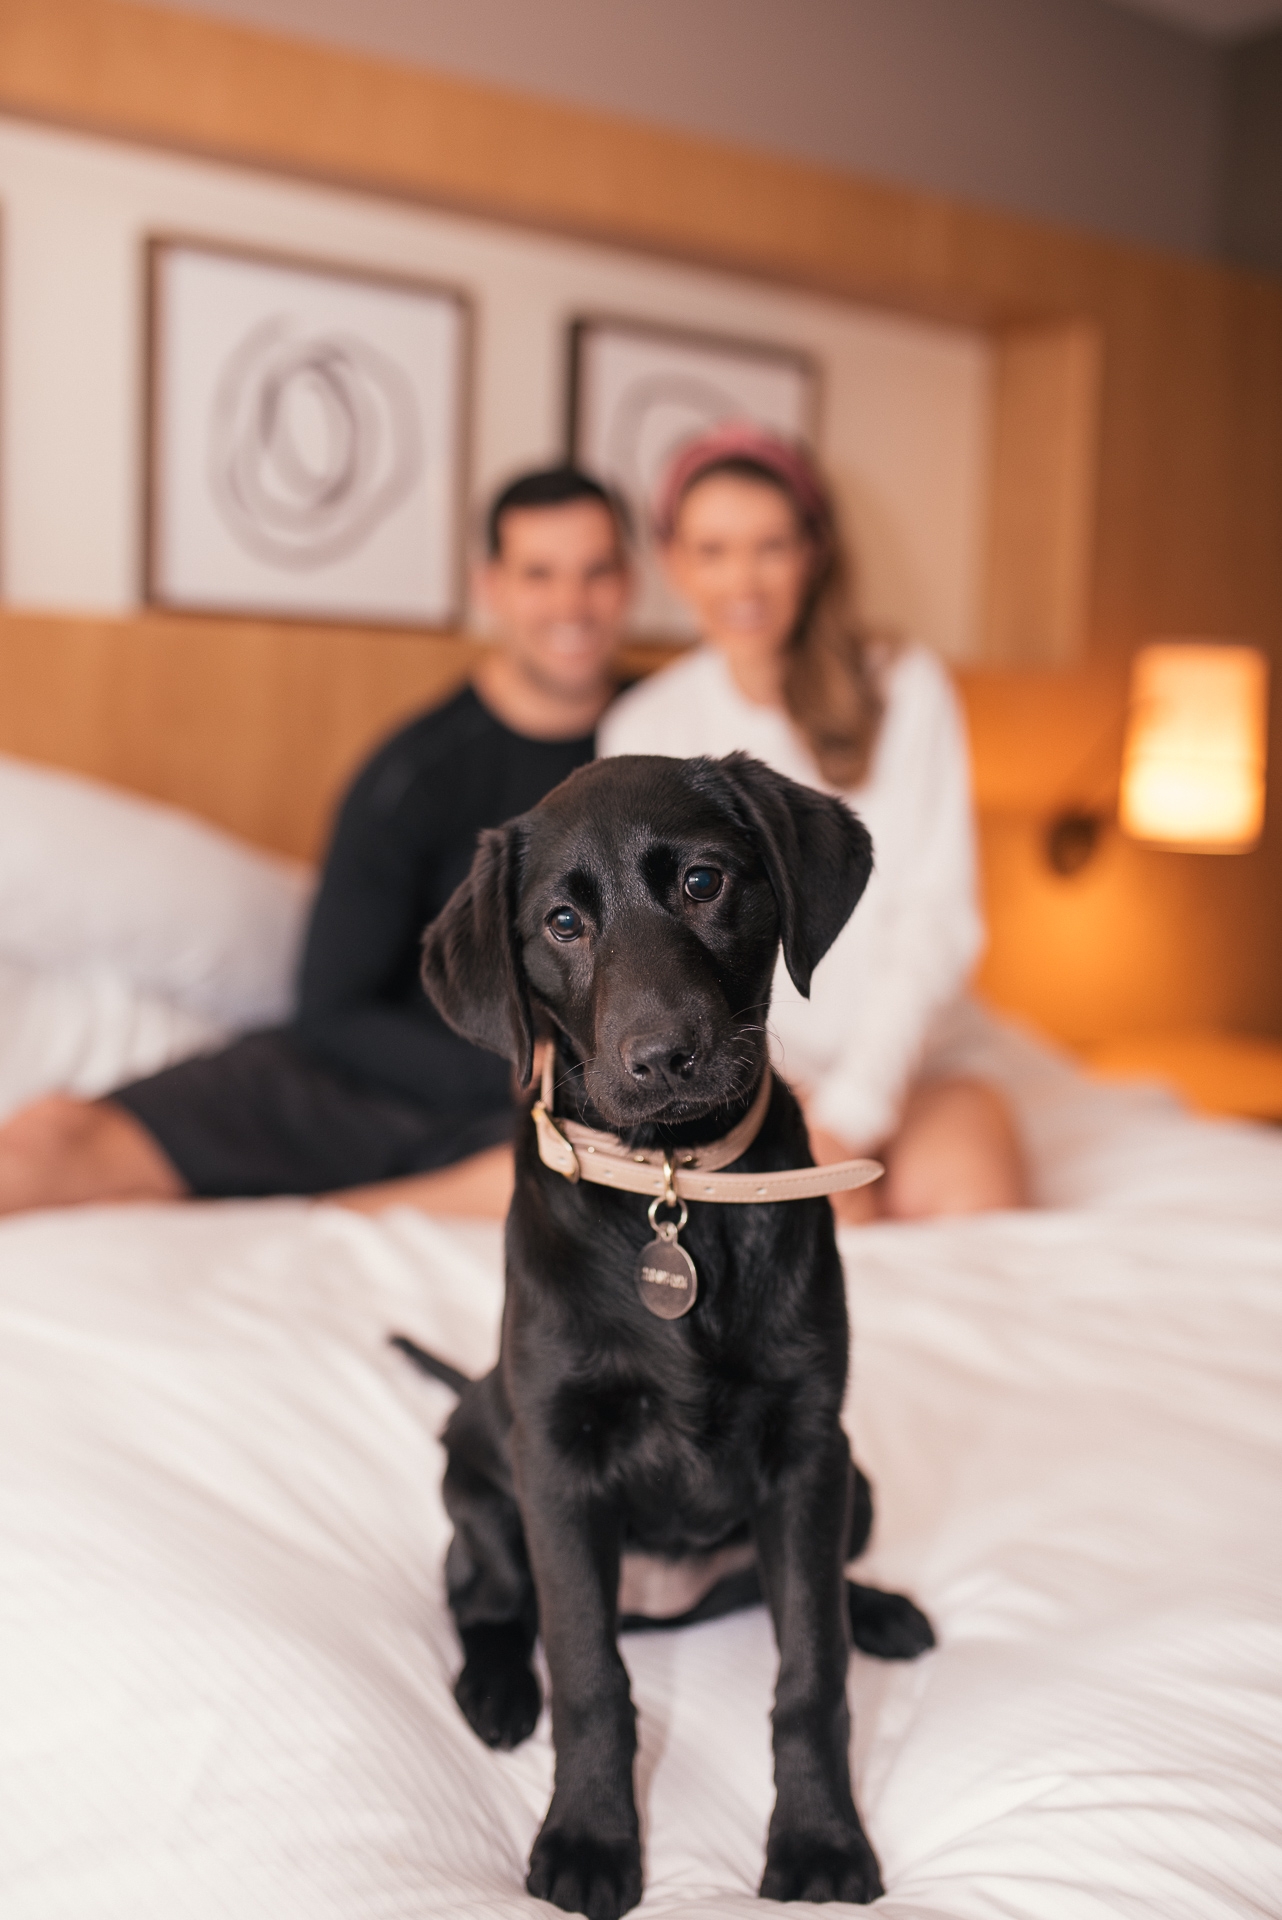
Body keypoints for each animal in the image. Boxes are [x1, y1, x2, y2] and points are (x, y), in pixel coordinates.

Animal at [419, 752, 933, 1917]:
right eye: (561, 921)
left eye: (704, 882)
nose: (663, 1058)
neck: (674, 1192)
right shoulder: (557, 1464)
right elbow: (588, 1675)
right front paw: (589, 1838)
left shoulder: (809, 1448)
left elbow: (810, 1670)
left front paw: (820, 1839)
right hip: (478, 1476)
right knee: (483, 1597)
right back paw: (495, 1689)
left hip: (858, 1482)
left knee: (816, 1595)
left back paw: (879, 1609)